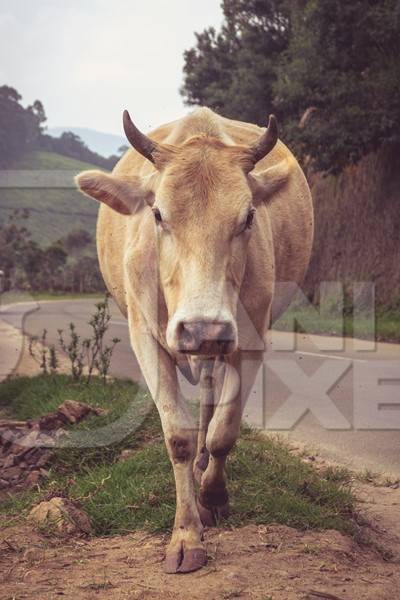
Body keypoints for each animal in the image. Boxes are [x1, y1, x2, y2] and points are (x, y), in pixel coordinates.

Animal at [75, 106, 312, 572]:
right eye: (158, 214)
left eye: (248, 217)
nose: (204, 328)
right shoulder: (146, 338)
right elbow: (178, 436)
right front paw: (186, 534)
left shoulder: (249, 339)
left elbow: (224, 431)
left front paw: (214, 498)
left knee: (209, 396)